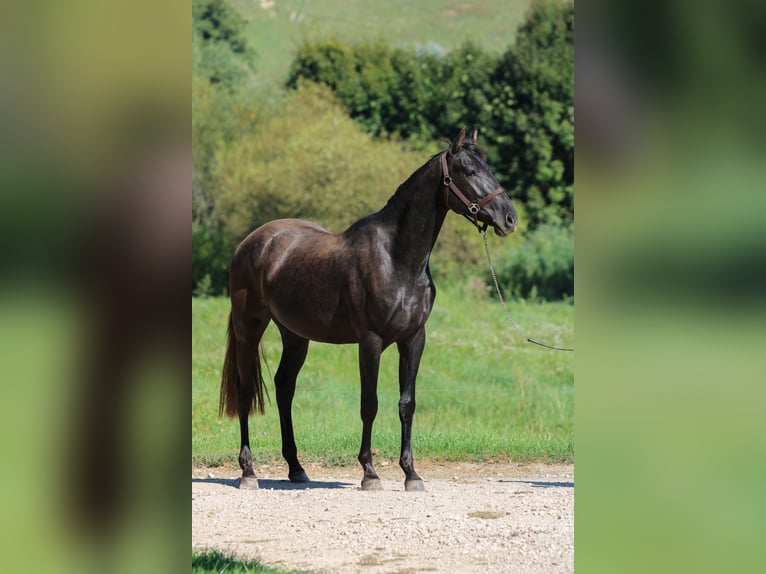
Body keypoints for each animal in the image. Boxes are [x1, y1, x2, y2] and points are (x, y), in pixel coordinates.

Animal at [219, 128, 518, 491]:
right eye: (469, 171)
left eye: (489, 168)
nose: (509, 219)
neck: (397, 259)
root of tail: (251, 242)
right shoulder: (371, 341)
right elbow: (369, 403)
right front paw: (370, 472)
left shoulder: (414, 339)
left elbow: (407, 403)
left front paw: (411, 474)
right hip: (249, 328)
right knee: (246, 390)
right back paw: (248, 472)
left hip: (295, 335)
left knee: (284, 387)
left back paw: (296, 468)